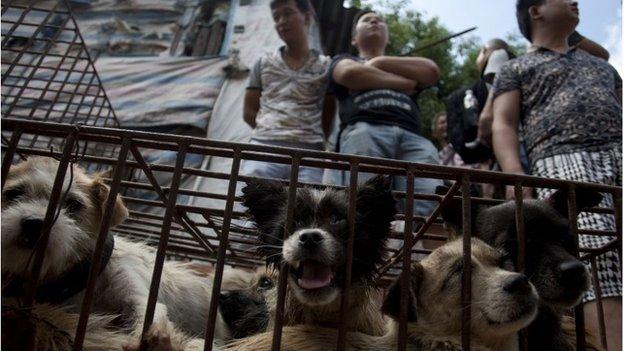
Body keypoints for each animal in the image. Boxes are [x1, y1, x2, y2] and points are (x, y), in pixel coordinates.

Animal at [0, 158, 236, 350]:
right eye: (13, 193)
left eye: (73, 204)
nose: (34, 224)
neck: (85, 281)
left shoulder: (133, 293)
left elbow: (145, 316)